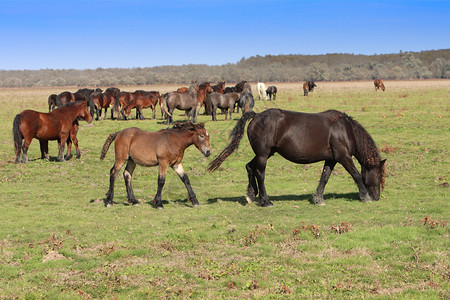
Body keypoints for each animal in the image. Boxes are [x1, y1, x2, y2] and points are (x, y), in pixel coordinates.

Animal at [208, 109, 386, 207]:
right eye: (378, 175)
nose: (377, 197)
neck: (345, 130)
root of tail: (257, 116)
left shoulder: (332, 159)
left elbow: (325, 178)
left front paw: (318, 199)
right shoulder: (344, 157)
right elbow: (356, 175)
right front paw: (365, 196)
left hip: (265, 153)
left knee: (249, 167)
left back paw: (251, 195)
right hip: (263, 155)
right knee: (260, 174)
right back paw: (266, 201)